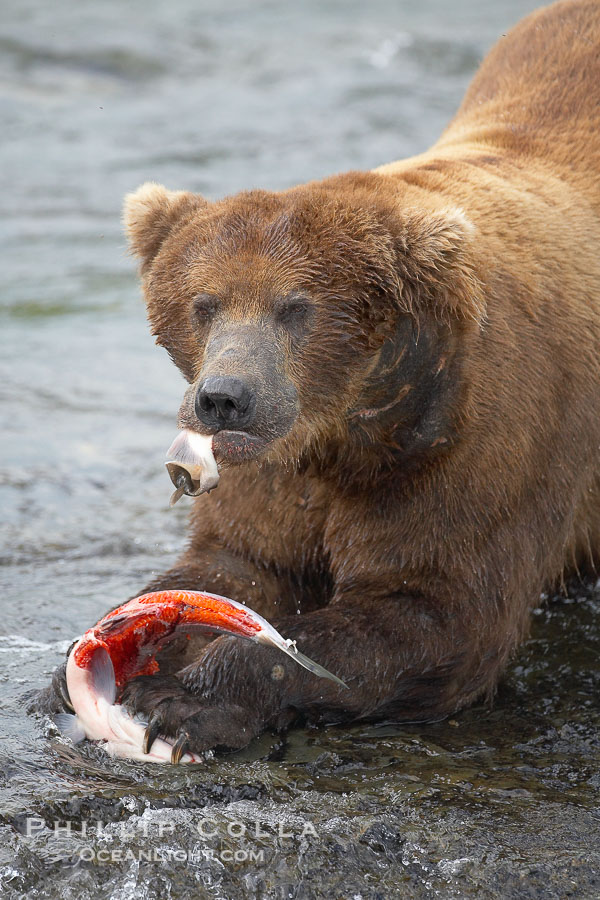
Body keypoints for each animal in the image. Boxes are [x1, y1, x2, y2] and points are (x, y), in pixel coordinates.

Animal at [46, 0, 600, 762]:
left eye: (295, 308)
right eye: (204, 303)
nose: (224, 398)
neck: (352, 432)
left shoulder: (482, 450)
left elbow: (434, 613)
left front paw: (183, 702)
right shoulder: (277, 475)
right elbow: (236, 564)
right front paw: (85, 659)